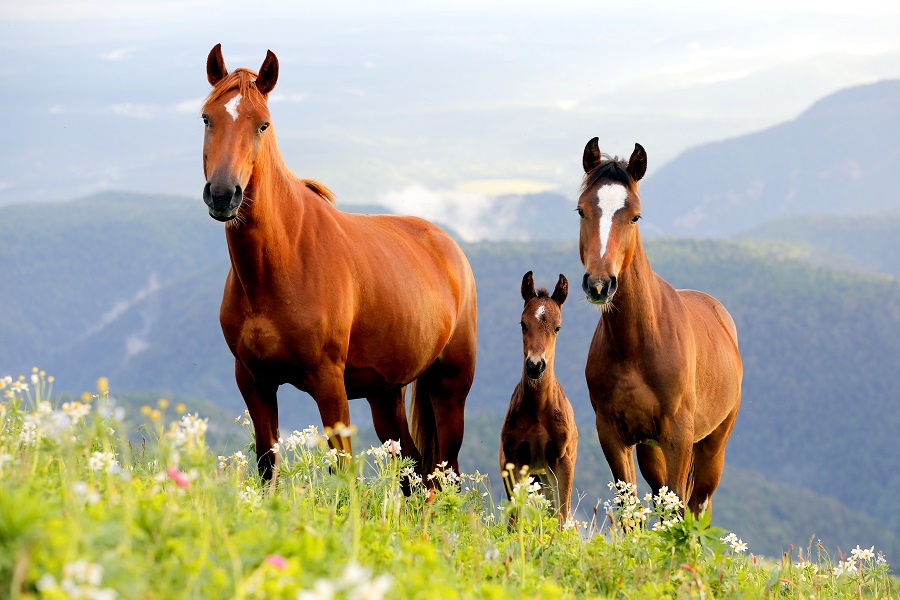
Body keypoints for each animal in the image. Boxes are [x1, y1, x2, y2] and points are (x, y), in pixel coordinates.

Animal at [198, 44, 478, 480]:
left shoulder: (329, 382)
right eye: (207, 118)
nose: (224, 194)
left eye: (262, 125)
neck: (280, 265)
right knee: (413, 470)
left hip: (450, 387)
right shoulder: (253, 380)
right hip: (385, 394)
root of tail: (450, 248)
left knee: (443, 473)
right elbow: (267, 463)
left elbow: (343, 470)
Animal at [500, 272, 576, 520]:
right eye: (523, 323)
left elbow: (562, 516)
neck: (538, 410)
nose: (535, 365)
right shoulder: (513, 460)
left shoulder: (562, 460)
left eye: (557, 327)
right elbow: (515, 517)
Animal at [576, 138, 744, 512]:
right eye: (581, 210)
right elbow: (630, 508)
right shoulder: (614, 435)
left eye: (635, 215)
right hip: (651, 451)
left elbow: (680, 506)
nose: (599, 285)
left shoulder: (677, 436)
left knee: (697, 505)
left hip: (713, 444)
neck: (637, 344)